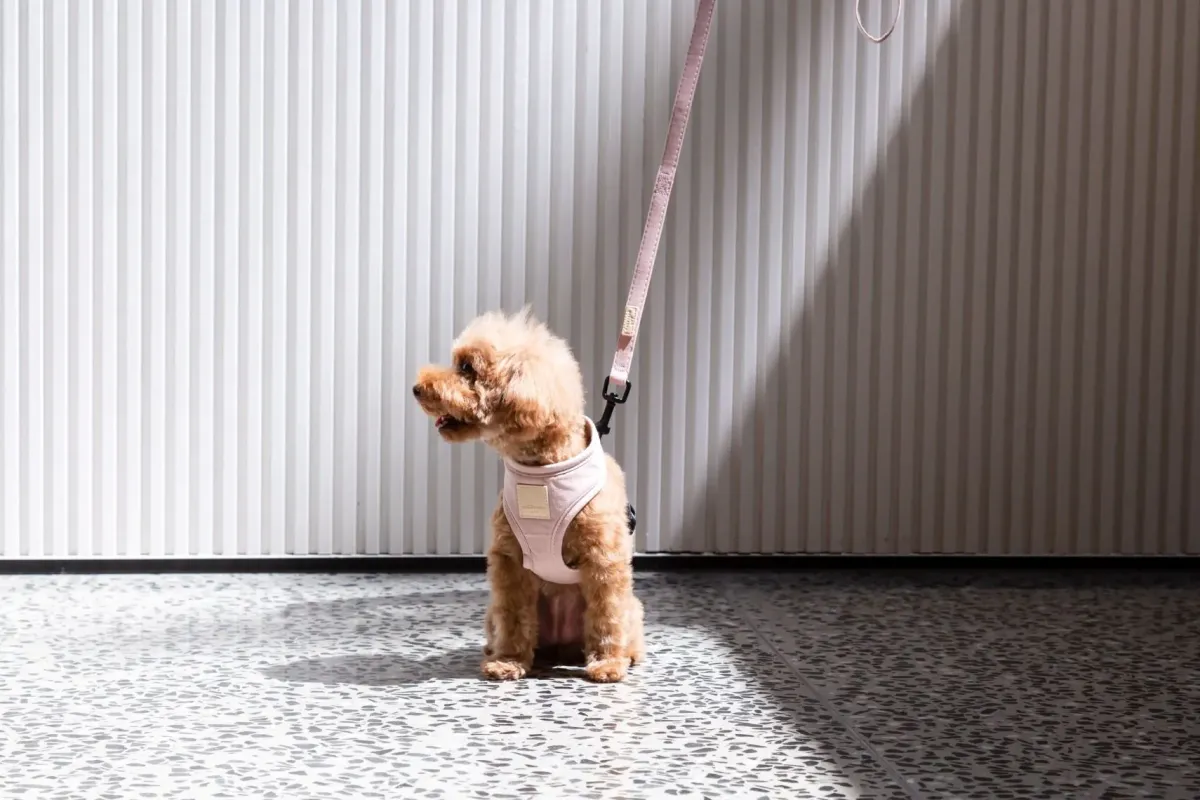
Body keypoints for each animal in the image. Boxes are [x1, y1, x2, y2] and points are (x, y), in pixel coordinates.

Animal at [412, 309, 645, 683]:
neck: (542, 473)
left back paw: (629, 654)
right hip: (501, 614)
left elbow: (606, 615)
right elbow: (513, 617)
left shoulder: (603, 559)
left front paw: (608, 664)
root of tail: (564, 644)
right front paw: (507, 662)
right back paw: (499, 652)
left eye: (467, 368)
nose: (417, 388)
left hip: (631, 606)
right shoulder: (510, 560)